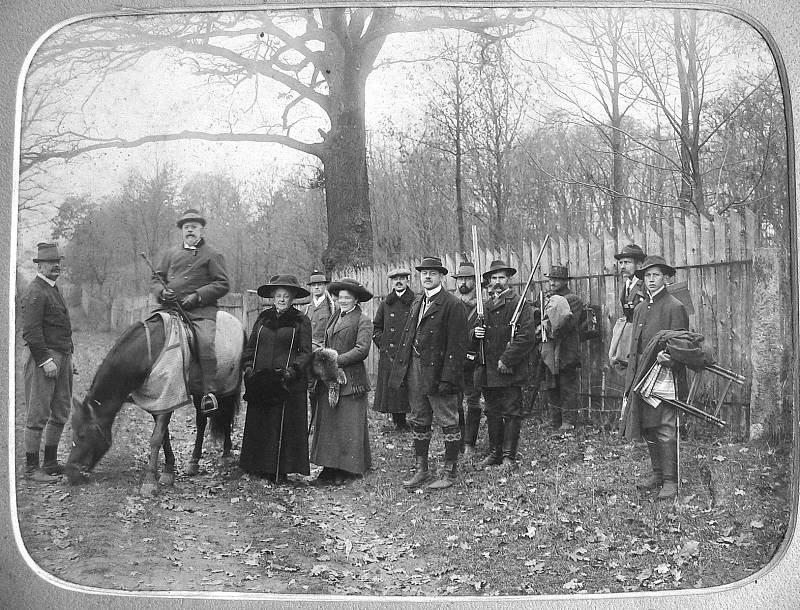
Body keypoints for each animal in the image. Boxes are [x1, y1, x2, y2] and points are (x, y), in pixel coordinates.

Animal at [65, 308, 244, 494]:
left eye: (81, 434)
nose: (70, 471)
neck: (147, 354)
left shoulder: (167, 396)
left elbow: (156, 438)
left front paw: (150, 480)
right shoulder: (158, 401)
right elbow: (164, 437)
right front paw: (168, 471)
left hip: (228, 386)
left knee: (226, 417)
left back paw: (225, 454)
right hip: (199, 391)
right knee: (202, 421)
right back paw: (194, 462)